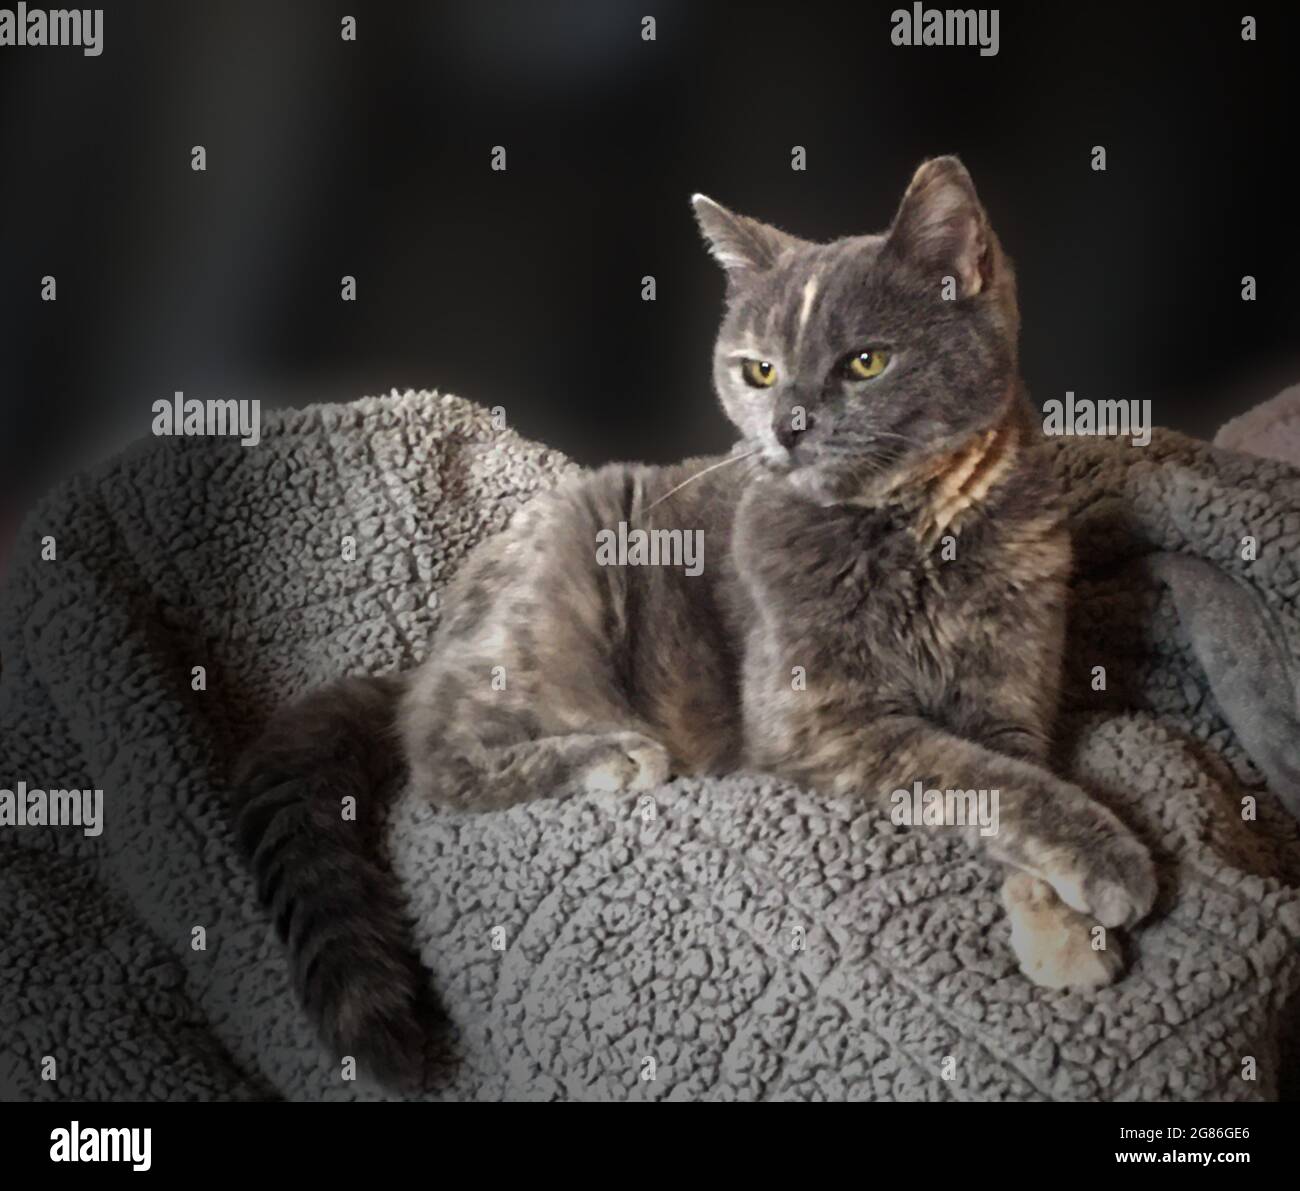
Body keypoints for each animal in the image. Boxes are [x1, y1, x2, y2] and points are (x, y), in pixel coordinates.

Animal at [233, 157, 1159, 1086]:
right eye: (758, 372)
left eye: (865, 361)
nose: (788, 426)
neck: (914, 531)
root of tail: (430, 653)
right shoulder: (816, 719)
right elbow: (969, 775)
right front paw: (1114, 867)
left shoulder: (1011, 693)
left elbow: (1021, 780)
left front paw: (1062, 929)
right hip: (559, 607)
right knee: (440, 762)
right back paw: (612, 755)